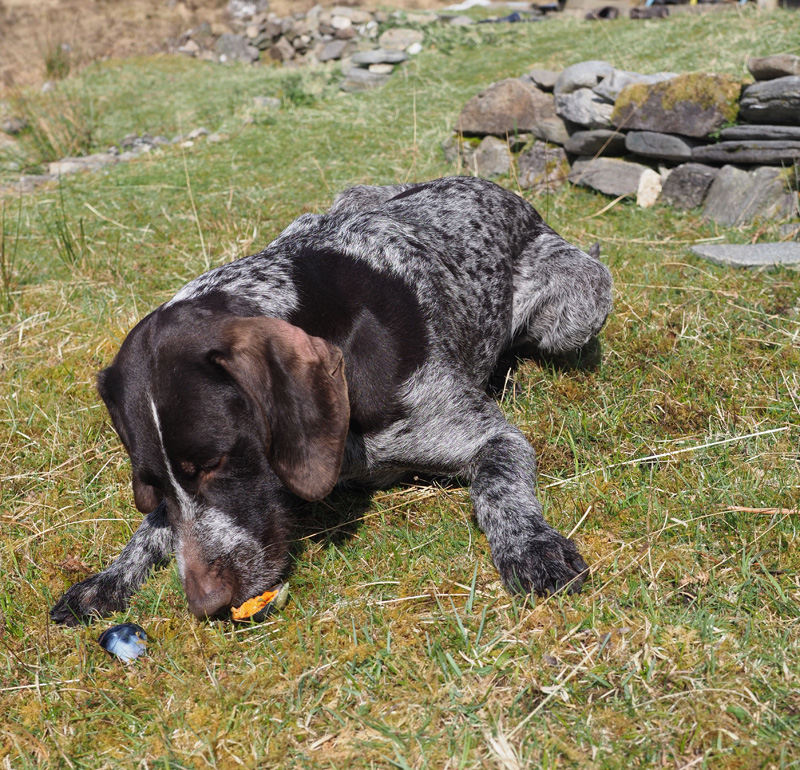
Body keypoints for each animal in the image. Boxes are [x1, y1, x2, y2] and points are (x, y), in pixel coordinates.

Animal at [51, 176, 612, 624]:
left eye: (216, 462)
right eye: (150, 484)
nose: (205, 604)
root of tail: (505, 192)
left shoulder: (493, 436)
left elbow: (498, 485)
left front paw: (531, 546)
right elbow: (153, 528)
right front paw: (108, 577)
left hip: (577, 304)